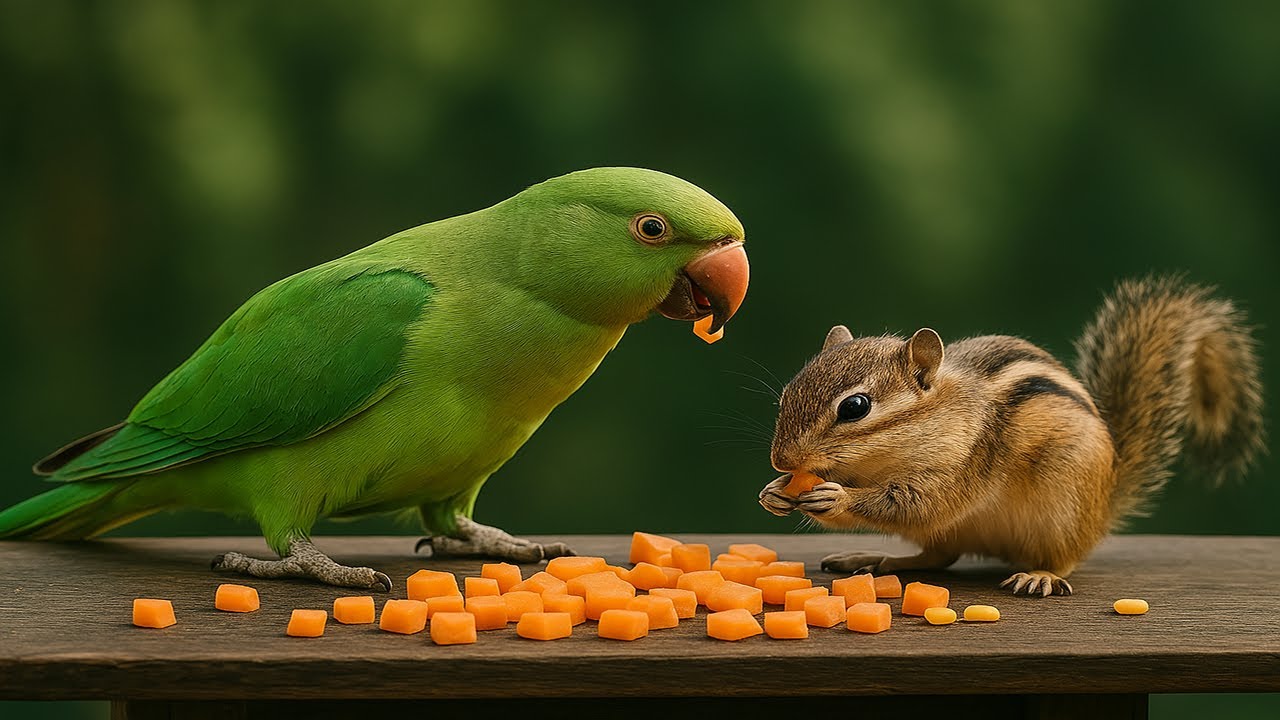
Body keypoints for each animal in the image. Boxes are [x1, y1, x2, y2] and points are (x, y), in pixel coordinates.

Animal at [759, 276, 1265, 596]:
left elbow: (916, 503)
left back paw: (1040, 575)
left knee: (1061, 557)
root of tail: (1105, 502)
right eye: (787, 394)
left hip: (1063, 510)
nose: (782, 462)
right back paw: (875, 560)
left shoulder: (964, 463)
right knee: (939, 556)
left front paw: (834, 497)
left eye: (855, 407)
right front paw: (774, 492)